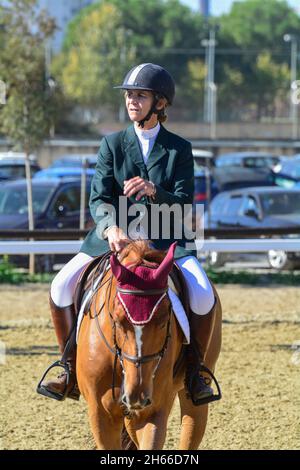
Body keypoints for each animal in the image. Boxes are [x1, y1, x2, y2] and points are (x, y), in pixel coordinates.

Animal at [76, 241, 221, 450]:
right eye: (118, 320)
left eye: (163, 319)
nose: (138, 394)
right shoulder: (101, 414)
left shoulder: (152, 411)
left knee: (192, 422)